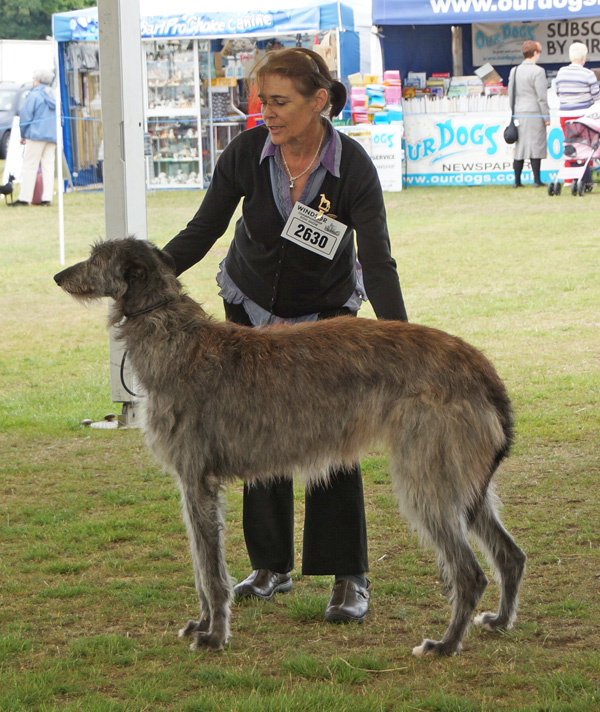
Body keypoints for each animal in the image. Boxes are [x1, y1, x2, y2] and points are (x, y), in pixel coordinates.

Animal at [55, 238, 524, 656]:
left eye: (96, 257)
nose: (59, 276)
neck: (173, 337)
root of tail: (482, 370)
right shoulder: (194, 485)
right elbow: (201, 564)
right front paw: (202, 624)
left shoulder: (197, 481)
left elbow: (210, 572)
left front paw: (214, 635)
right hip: (462, 481)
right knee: (511, 555)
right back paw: (500, 621)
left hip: (426, 477)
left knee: (470, 573)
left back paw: (445, 645)